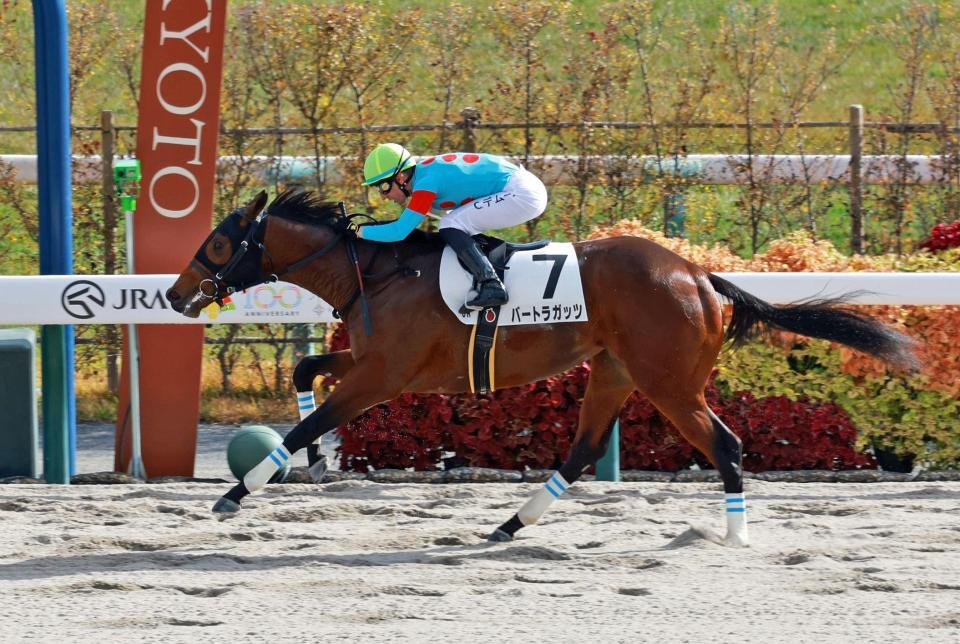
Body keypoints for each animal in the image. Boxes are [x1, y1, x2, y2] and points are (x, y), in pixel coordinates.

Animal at [166, 188, 918, 546]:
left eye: (217, 243)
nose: (174, 295)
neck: (376, 271)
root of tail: (700, 275)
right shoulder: (378, 363)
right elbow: (303, 374)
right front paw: (315, 463)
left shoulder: (384, 377)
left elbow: (309, 416)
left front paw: (238, 491)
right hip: (615, 372)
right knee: (582, 450)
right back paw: (508, 526)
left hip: (668, 381)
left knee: (726, 446)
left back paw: (732, 536)